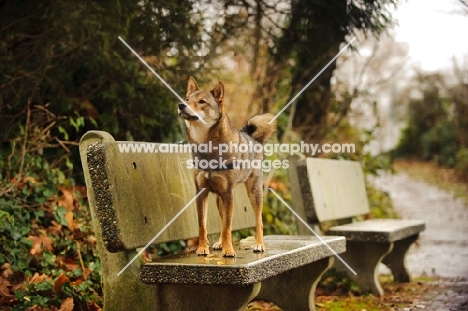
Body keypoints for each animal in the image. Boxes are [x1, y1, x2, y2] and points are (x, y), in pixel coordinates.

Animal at [177, 77, 276, 258]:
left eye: (202, 102)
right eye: (187, 99)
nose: (181, 105)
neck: (208, 149)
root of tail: (250, 135)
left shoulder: (229, 194)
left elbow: (228, 226)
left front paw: (228, 249)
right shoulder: (202, 192)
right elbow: (203, 225)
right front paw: (203, 248)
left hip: (253, 192)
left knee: (258, 221)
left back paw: (259, 244)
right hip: (219, 199)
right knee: (222, 221)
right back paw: (219, 243)